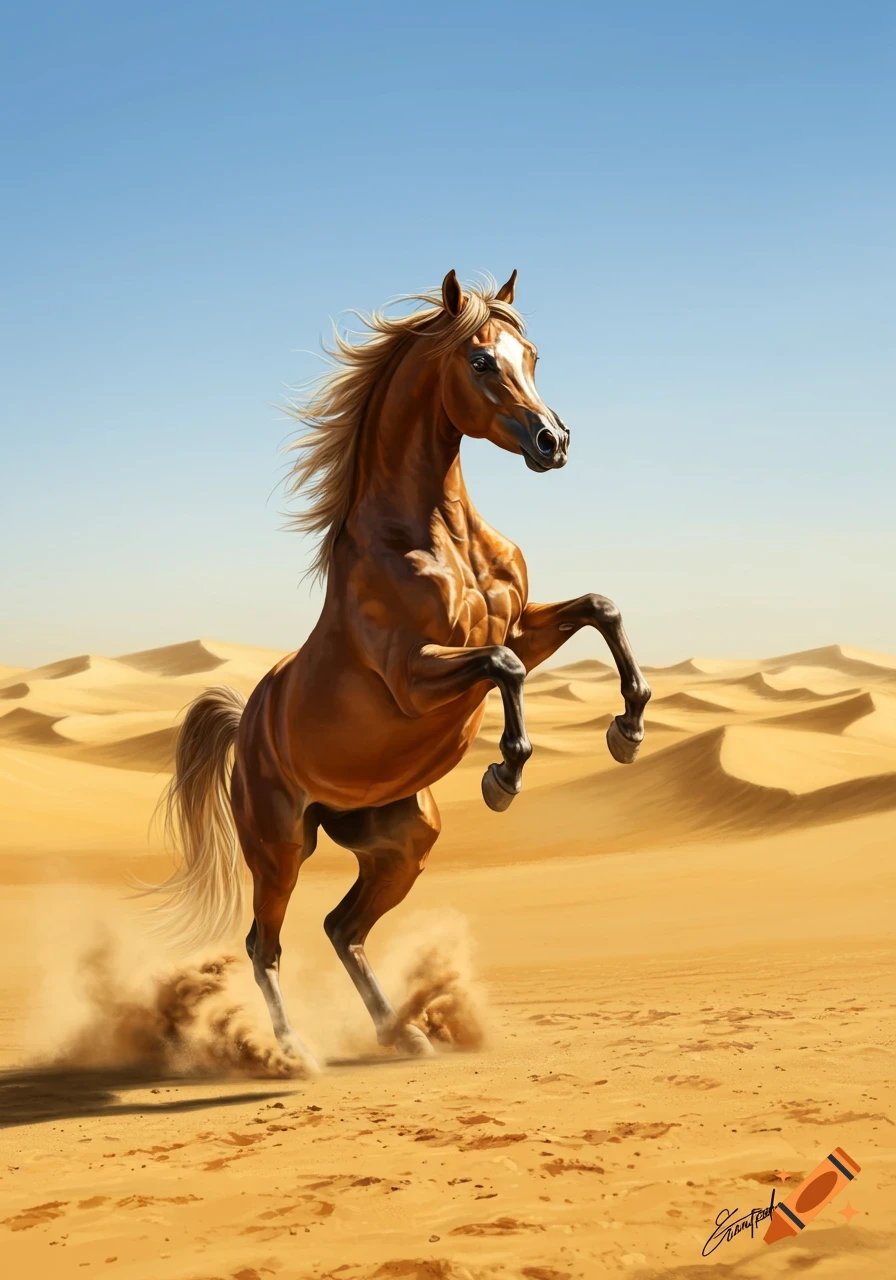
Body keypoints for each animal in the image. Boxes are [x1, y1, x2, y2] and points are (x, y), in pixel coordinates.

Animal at [147, 270, 651, 1071]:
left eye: (532, 354)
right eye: (481, 360)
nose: (554, 441)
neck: (435, 533)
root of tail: (246, 722)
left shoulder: (524, 621)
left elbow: (599, 607)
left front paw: (627, 730)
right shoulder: (416, 679)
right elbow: (506, 667)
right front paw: (504, 775)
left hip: (402, 841)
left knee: (342, 927)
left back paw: (404, 1032)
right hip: (279, 846)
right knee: (265, 944)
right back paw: (294, 1052)